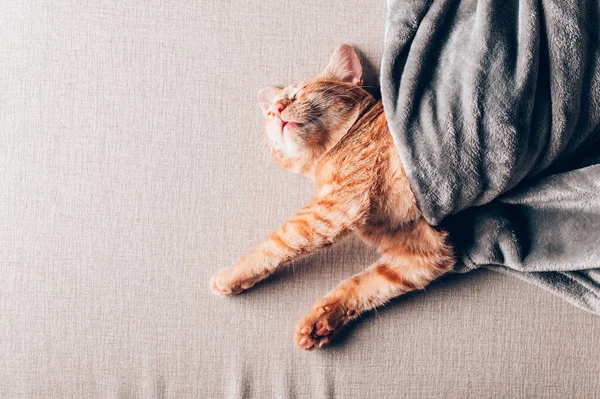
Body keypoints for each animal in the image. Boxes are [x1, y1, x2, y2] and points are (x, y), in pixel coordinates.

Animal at [211, 43, 454, 350]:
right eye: (269, 113)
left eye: (299, 93)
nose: (276, 109)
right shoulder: (422, 253)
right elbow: (366, 283)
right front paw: (323, 319)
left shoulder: (334, 206)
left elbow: (277, 241)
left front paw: (231, 274)